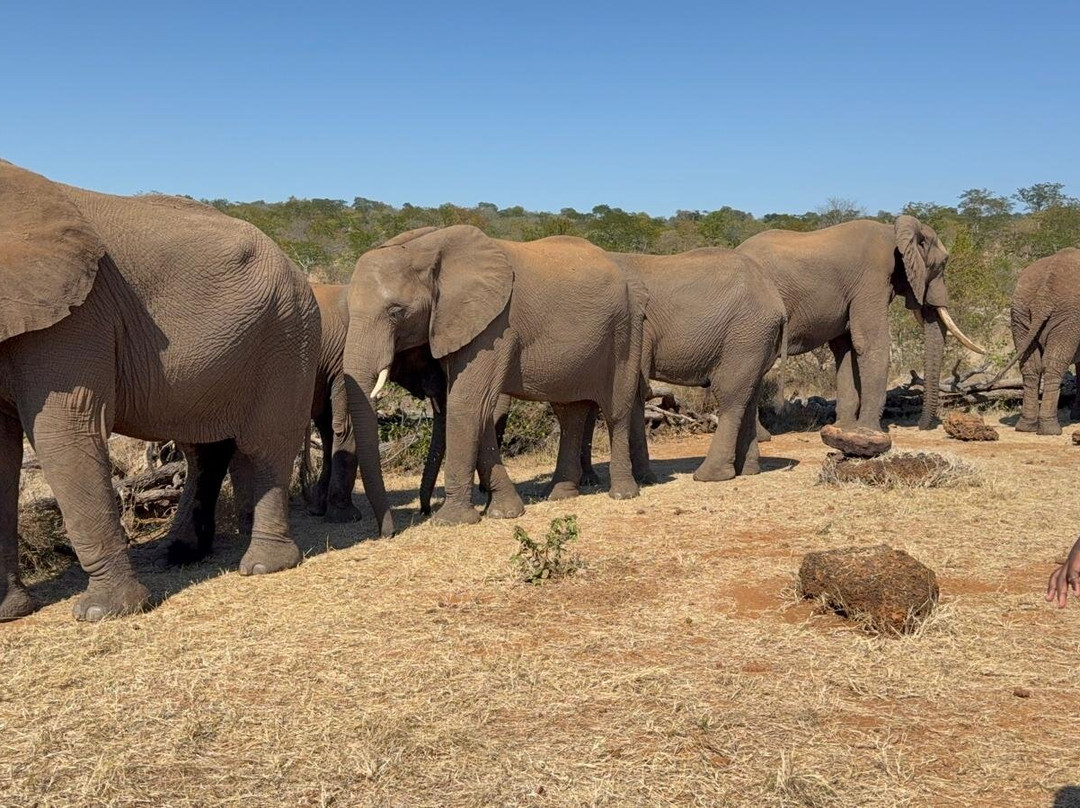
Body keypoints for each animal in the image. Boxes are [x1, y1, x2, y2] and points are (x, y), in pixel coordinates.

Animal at [0, 161, 321, 622]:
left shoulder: (77, 318)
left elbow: (66, 432)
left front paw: (103, 613)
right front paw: (10, 611)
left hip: (289, 333)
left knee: (265, 445)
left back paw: (264, 565)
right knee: (205, 448)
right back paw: (181, 554)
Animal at [344, 225, 647, 530]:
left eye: (396, 312)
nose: (422, 512)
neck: (427, 248)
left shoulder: (495, 326)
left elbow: (468, 403)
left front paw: (451, 521)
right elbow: (481, 411)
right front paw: (505, 512)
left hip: (626, 329)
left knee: (616, 411)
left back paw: (622, 493)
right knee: (569, 414)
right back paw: (559, 495)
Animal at [577, 247, 788, 484]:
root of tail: (777, 302)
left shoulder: (635, 331)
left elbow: (634, 392)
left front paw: (645, 478)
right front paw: (589, 480)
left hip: (745, 335)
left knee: (730, 396)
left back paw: (709, 476)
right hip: (756, 339)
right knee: (750, 396)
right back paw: (748, 470)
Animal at [736, 216, 986, 433]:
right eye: (943, 263)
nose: (922, 426)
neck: (893, 231)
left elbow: (846, 349)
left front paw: (844, 429)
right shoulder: (871, 280)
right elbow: (870, 343)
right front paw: (869, 431)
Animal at [999, 248, 1080, 435]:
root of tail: (1043, 298)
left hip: (1019, 313)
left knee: (1030, 366)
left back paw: (1025, 426)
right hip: (1069, 316)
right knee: (1053, 365)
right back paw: (1051, 430)